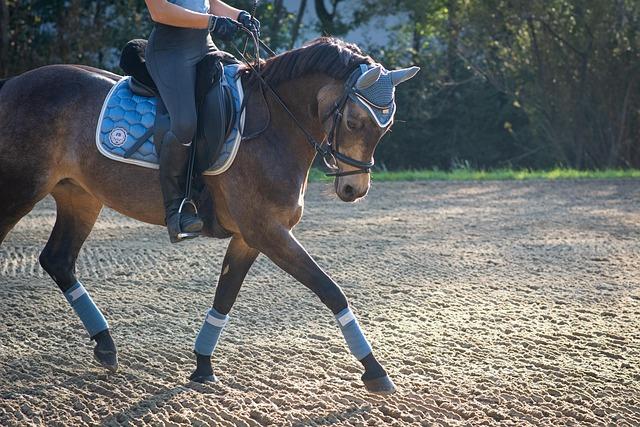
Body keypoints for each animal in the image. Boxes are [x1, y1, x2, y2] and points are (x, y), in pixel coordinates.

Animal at [0, 36, 420, 394]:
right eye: (354, 122)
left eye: (385, 128)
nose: (354, 190)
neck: (274, 127)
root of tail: (13, 84)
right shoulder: (268, 231)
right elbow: (330, 289)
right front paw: (375, 371)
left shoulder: (251, 236)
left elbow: (225, 295)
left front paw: (202, 366)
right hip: (20, 189)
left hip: (80, 196)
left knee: (58, 260)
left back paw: (106, 347)